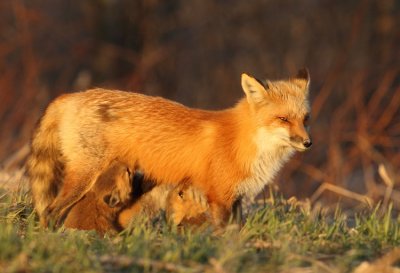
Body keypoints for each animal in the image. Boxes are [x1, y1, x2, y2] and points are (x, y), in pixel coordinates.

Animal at [26, 68, 312, 225]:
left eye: (305, 119)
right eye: (283, 119)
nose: (308, 143)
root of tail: (71, 95)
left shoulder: (237, 199)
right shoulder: (219, 197)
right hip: (84, 177)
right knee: (50, 211)